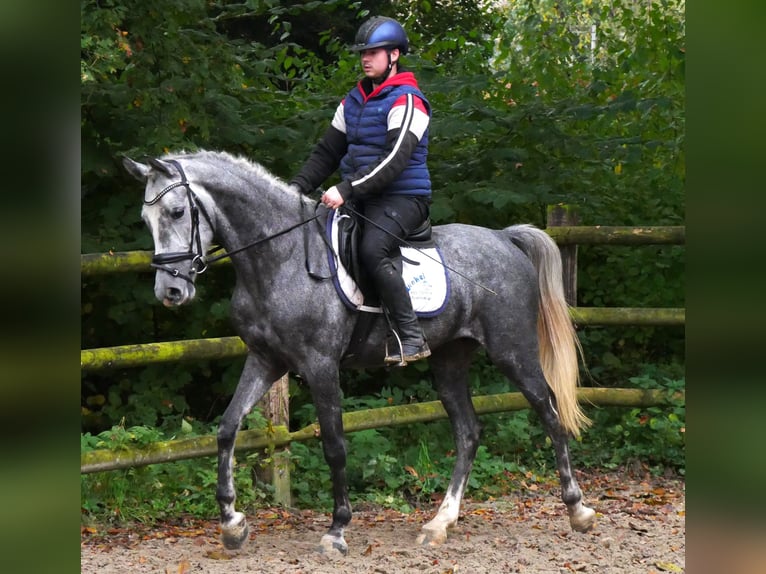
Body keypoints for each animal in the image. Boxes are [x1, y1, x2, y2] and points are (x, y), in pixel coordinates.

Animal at [123, 151, 596, 556]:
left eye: (178, 212)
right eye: (145, 219)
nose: (170, 292)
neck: (279, 256)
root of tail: (502, 238)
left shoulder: (320, 365)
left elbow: (334, 445)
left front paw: (337, 530)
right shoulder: (265, 360)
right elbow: (226, 429)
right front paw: (232, 524)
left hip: (512, 350)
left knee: (549, 412)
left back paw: (577, 509)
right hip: (449, 360)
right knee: (468, 431)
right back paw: (439, 523)